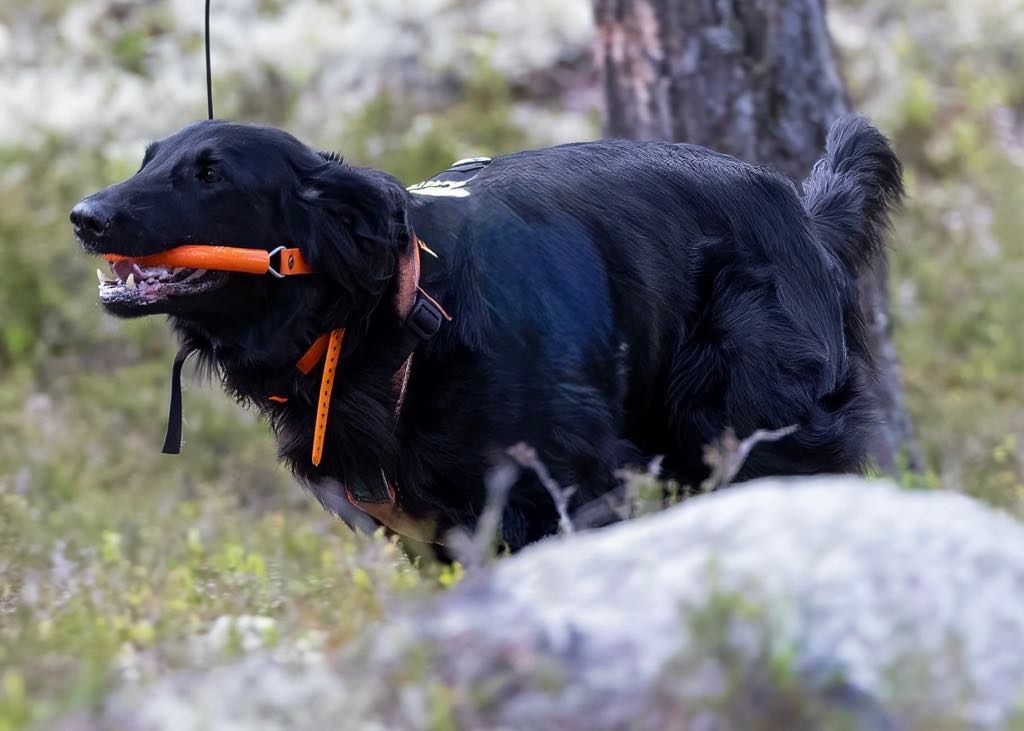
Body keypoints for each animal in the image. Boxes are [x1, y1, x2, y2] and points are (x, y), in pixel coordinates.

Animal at [72, 115, 901, 548]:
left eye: (211, 175)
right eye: (148, 159)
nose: (85, 216)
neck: (394, 320)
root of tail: (804, 214)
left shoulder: (564, 491)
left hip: (754, 426)